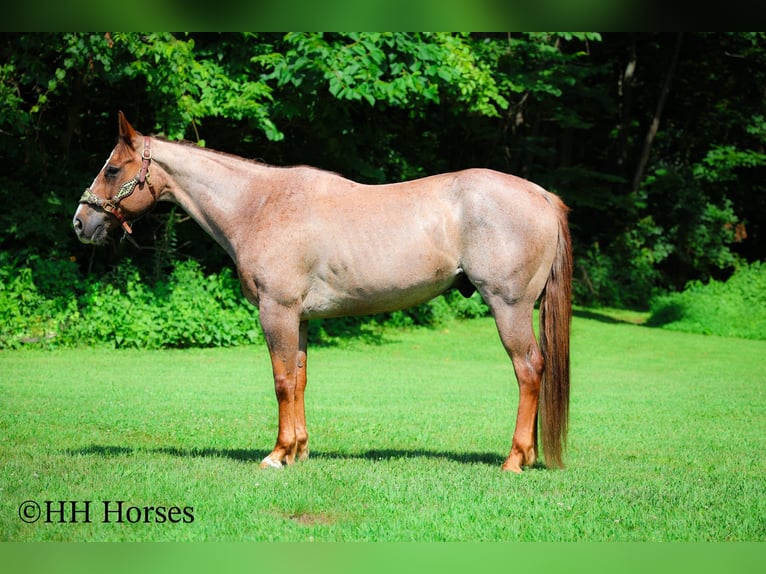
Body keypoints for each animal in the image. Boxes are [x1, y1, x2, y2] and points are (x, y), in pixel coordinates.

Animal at [73, 112, 572, 473]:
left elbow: (280, 382)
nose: (81, 223)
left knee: (529, 370)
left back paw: (514, 460)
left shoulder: (276, 311)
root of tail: (541, 195)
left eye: (112, 168)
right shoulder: (300, 318)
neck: (260, 205)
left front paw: (277, 455)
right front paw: (298, 451)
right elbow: (299, 380)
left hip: (508, 307)